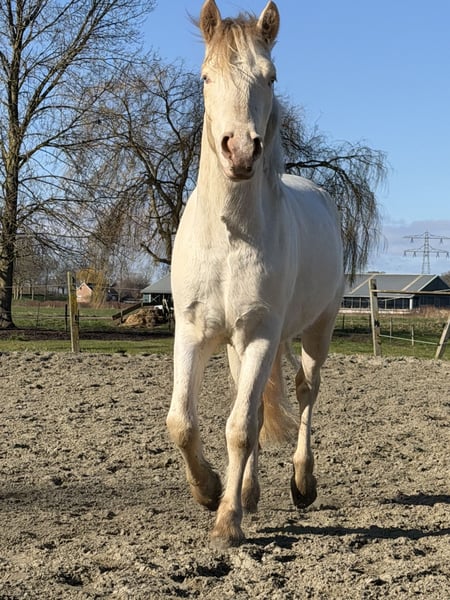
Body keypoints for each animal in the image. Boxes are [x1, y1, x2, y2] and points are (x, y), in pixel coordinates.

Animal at [167, 0, 344, 548]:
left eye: (271, 76)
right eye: (205, 77)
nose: (240, 150)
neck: (231, 237)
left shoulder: (263, 334)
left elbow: (241, 426)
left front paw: (227, 522)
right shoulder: (194, 331)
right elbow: (183, 422)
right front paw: (210, 491)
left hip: (317, 330)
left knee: (306, 393)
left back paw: (301, 484)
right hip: (234, 345)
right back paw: (247, 491)